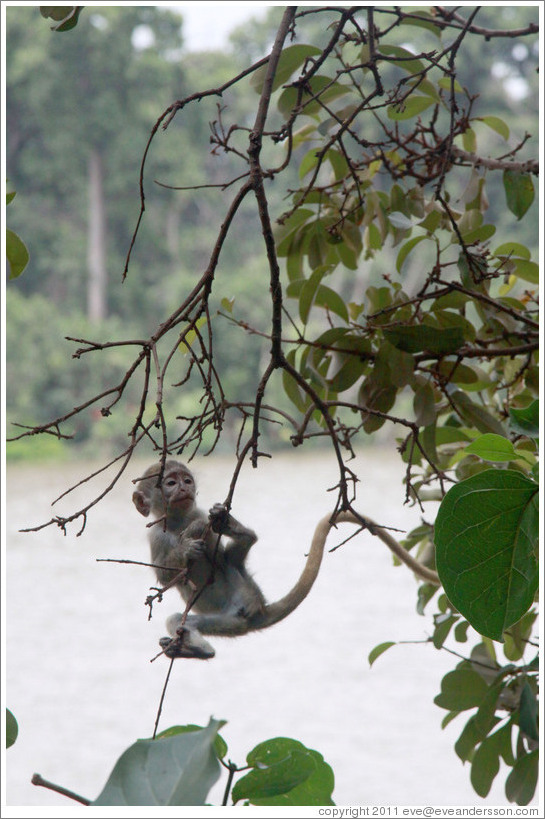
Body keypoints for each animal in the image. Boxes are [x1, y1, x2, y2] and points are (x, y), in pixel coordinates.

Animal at [132, 462, 438, 660]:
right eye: (170, 483)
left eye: (186, 480)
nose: (184, 488)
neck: (179, 522)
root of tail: (259, 609)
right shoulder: (155, 537)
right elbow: (164, 575)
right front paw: (186, 548)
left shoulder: (196, 513)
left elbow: (216, 548)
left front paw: (212, 525)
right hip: (229, 622)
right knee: (184, 620)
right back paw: (197, 650)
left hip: (244, 597)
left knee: (233, 560)